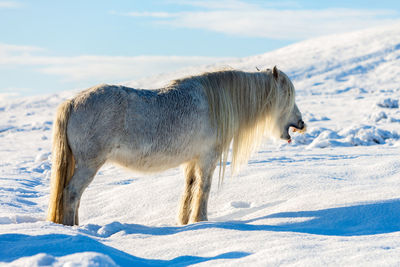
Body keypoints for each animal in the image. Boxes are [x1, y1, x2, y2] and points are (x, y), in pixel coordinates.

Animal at [47, 66, 304, 226]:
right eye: (287, 96)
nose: (301, 123)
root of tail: (72, 102)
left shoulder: (191, 161)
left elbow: (189, 189)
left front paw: (184, 222)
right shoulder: (207, 158)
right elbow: (204, 188)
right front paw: (201, 221)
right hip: (89, 164)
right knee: (71, 193)